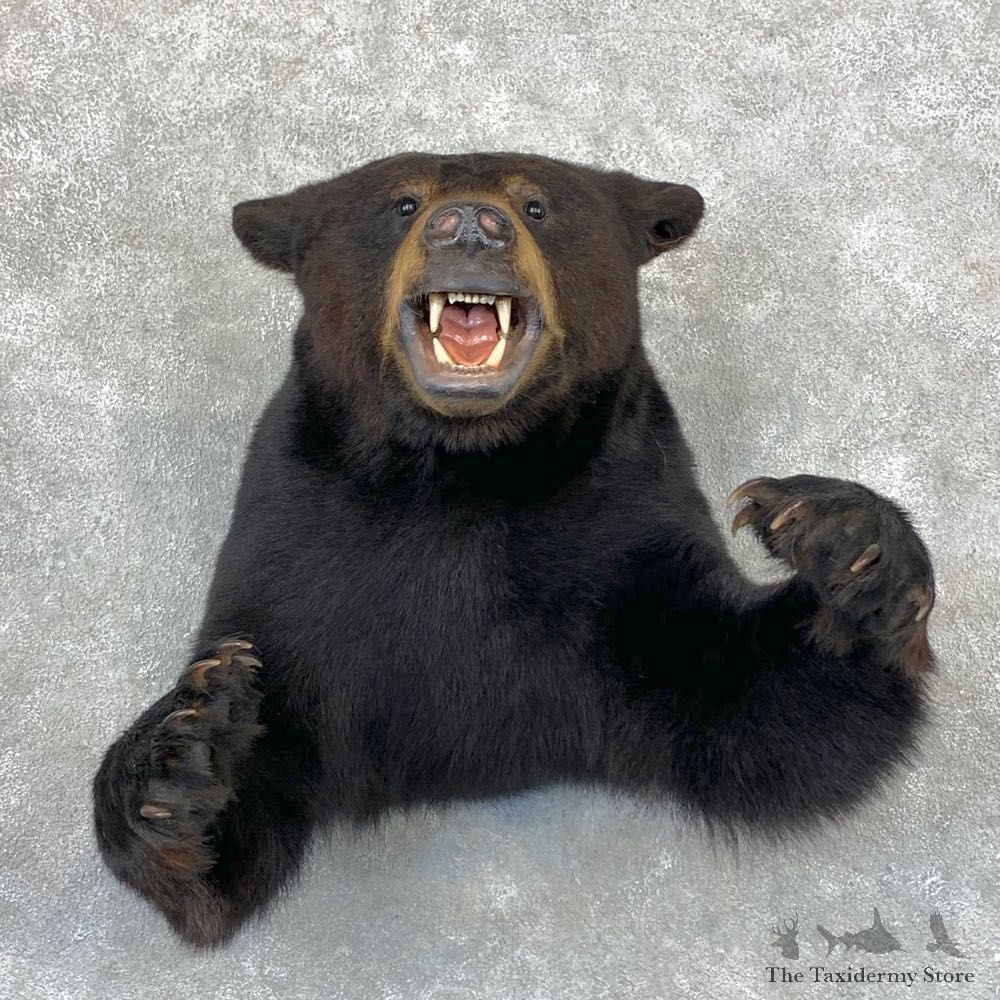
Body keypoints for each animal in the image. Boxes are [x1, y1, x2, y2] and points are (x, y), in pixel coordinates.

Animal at [92, 151, 935, 948]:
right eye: (403, 202)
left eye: (537, 204)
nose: (469, 224)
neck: (467, 467)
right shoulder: (293, 549)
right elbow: (247, 817)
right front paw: (184, 753)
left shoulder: (624, 538)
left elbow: (770, 712)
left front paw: (845, 540)